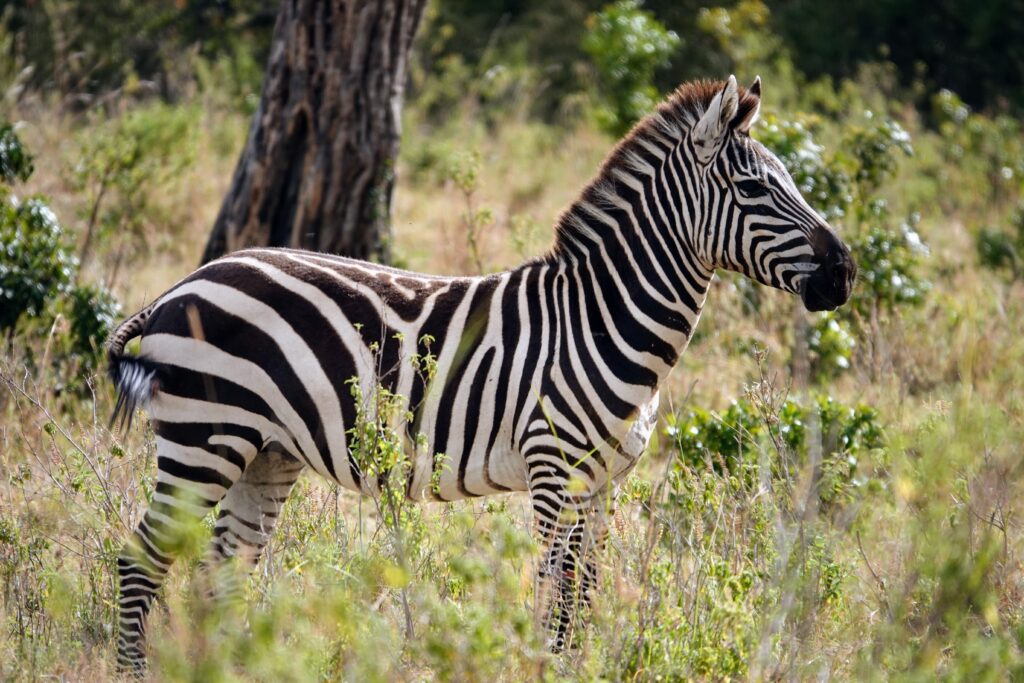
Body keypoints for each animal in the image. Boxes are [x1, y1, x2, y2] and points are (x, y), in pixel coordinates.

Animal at [105, 76, 856, 671]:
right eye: (755, 187)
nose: (845, 272)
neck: (602, 317)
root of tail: (183, 284)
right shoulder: (555, 472)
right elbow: (556, 598)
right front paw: (547, 670)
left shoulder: (602, 483)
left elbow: (584, 595)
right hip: (206, 436)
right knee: (140, 561)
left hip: (267, 452)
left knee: (223, 570)